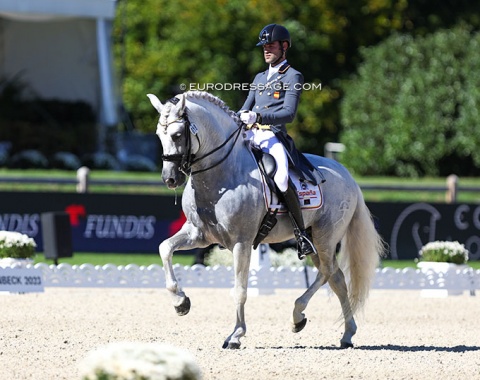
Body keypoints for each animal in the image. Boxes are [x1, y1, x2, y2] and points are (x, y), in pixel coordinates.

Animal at [148, 90, 384, 348]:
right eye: (159, 135)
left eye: (177, 134)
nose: (169, 179)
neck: (221, 175)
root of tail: (345, 173)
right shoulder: (198, 234)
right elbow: (164, 248)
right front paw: (181, 303)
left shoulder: (241, 242)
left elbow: (240, 289)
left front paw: (236, 335)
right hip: (314, 239)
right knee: (337, 278)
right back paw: (346, 334)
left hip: (326, 236)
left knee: (328, 271)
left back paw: (297, 316)